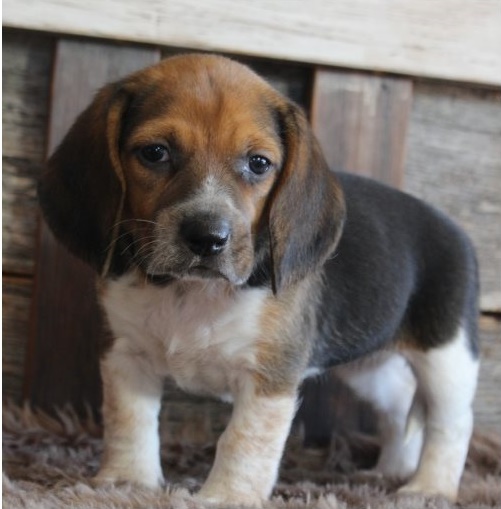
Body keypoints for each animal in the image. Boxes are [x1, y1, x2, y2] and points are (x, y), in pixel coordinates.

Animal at [38, 53, 476, 506]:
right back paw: (392, 469)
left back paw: (429, 487)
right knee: (400, 403)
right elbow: (129, 422)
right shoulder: (126, 354)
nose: (207, 237)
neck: (191, 291)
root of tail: (455, 229)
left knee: (452, 423)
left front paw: (225, 496)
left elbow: (243, 440)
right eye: (155, 153)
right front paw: (127, 482)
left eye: (258, 163)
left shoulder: (269, 375)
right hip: (371, 366)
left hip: (448, 356)